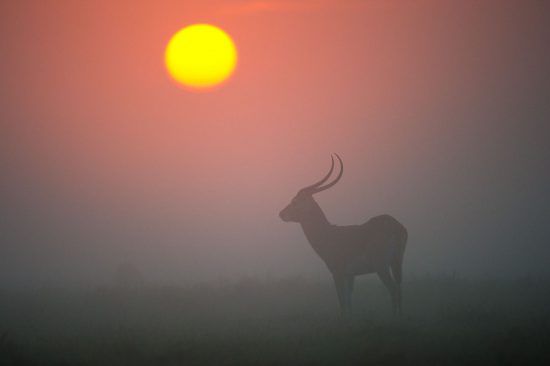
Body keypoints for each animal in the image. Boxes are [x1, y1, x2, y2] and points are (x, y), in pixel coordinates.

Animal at [282, 154, 408, 318]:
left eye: (296, 201)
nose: (281, 213)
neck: (329, 234)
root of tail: (396, 226)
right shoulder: (350, 276)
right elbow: (349, 303)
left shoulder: (337, 273)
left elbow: (342, 303)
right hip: (396, 262)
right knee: (399, 288)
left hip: (382, 266)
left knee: (393, 289)